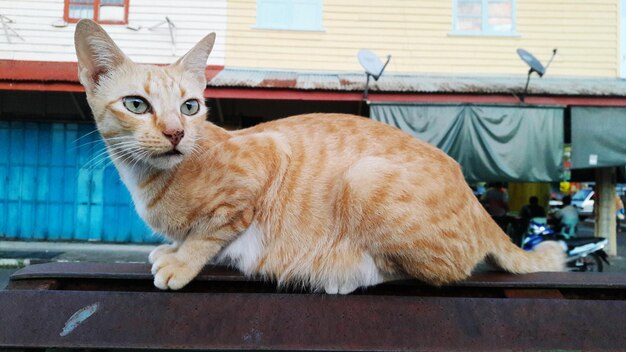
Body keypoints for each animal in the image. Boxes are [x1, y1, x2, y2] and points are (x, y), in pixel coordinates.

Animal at [73, 20, 560, 294]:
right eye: (137, 105)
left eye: (190, 106)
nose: (175, 132)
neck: (147, 181)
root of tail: (476, 202)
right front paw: (172, 247)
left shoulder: (267, 157)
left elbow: (211, 232)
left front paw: (182, 259)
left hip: (365, 180)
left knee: (430, 271)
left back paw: (344, 274)